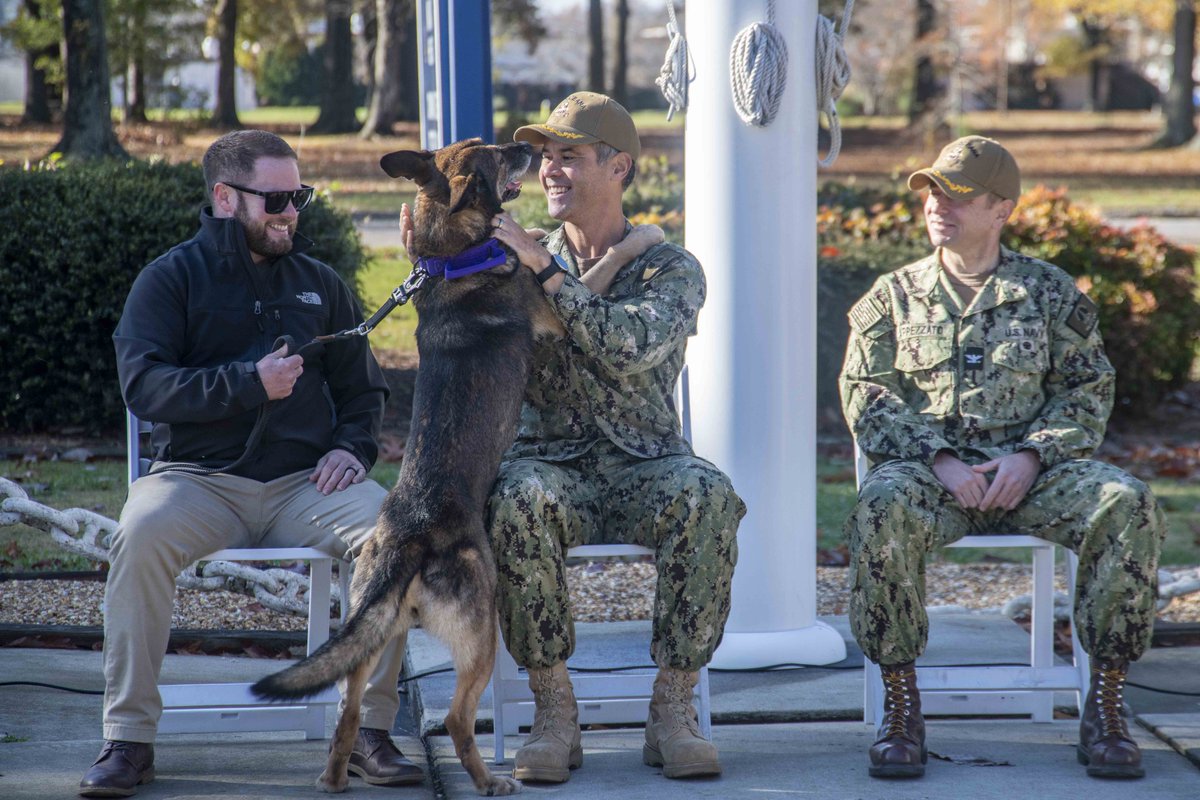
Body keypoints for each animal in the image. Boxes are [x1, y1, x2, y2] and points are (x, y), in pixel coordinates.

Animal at [253, 137, 662, 796]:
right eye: (499, 154)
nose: (525, 144)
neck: (451, 255)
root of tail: (411, 540)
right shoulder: (554, 311)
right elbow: (592, 272)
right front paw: (646, 232)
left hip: (375, 637)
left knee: (348, 713)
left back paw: (336, 778)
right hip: (482, 633)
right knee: (455, 718)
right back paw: (490, 780)